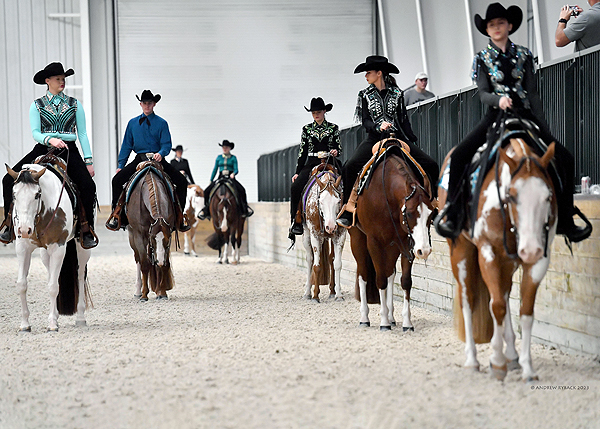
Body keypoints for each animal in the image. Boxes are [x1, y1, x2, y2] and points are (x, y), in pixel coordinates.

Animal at [4, 164, 91, 332]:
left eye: (37, 195)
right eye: (14, 194)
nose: (24, 230)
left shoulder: (58, 247)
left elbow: (53, 286)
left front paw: (52, 324)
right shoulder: (22, 248)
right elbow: (22, 284)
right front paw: (25, 324)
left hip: (82, 247)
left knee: (80, 274)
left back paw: (80, 317)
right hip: (45, 252)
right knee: (51, 272)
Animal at [125, 161, 175, 300]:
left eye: (167, 240)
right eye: (153, 239)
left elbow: (164, 264)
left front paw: (162, 292)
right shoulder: (139, 235)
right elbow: (145, 264)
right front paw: (144, 295)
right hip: (132, 236)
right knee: (138, 259)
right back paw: (138, 292)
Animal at [300, 164, 346, 300]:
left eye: (338, 201)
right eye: (320, 201)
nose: (330, 226)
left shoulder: (340, 235)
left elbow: (337, 264)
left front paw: (339, 295)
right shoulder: (315, 235)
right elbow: (317, 266)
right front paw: (315, 296)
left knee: (331, 259)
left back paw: (332, 291)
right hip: (306, 235)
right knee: (310, 260)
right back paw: (307, 293)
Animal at [346, 140, 436, 332]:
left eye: (431, 214)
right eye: (409, 213)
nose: (424, 251)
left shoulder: (406, 243)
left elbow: (405, 281)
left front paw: (407, 322)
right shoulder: (374, 242)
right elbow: (379, 279)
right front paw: (383, 322)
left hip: (392, 246)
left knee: (390, 274)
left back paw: (392, 316)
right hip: (358, 239)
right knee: (363, 275)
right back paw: (365, 318)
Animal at [438, 138, 560, 382]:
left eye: (548, 196)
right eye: (511, 195)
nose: (530, 249)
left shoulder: (539, 261)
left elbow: (525, 311)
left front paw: (527, 367)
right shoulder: (488, 253)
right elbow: (497, 307)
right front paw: (496, 361)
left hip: (508, 263)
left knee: (503, 292)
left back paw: (511, 354)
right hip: (461, 252)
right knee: (469, 299)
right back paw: (472, 360)